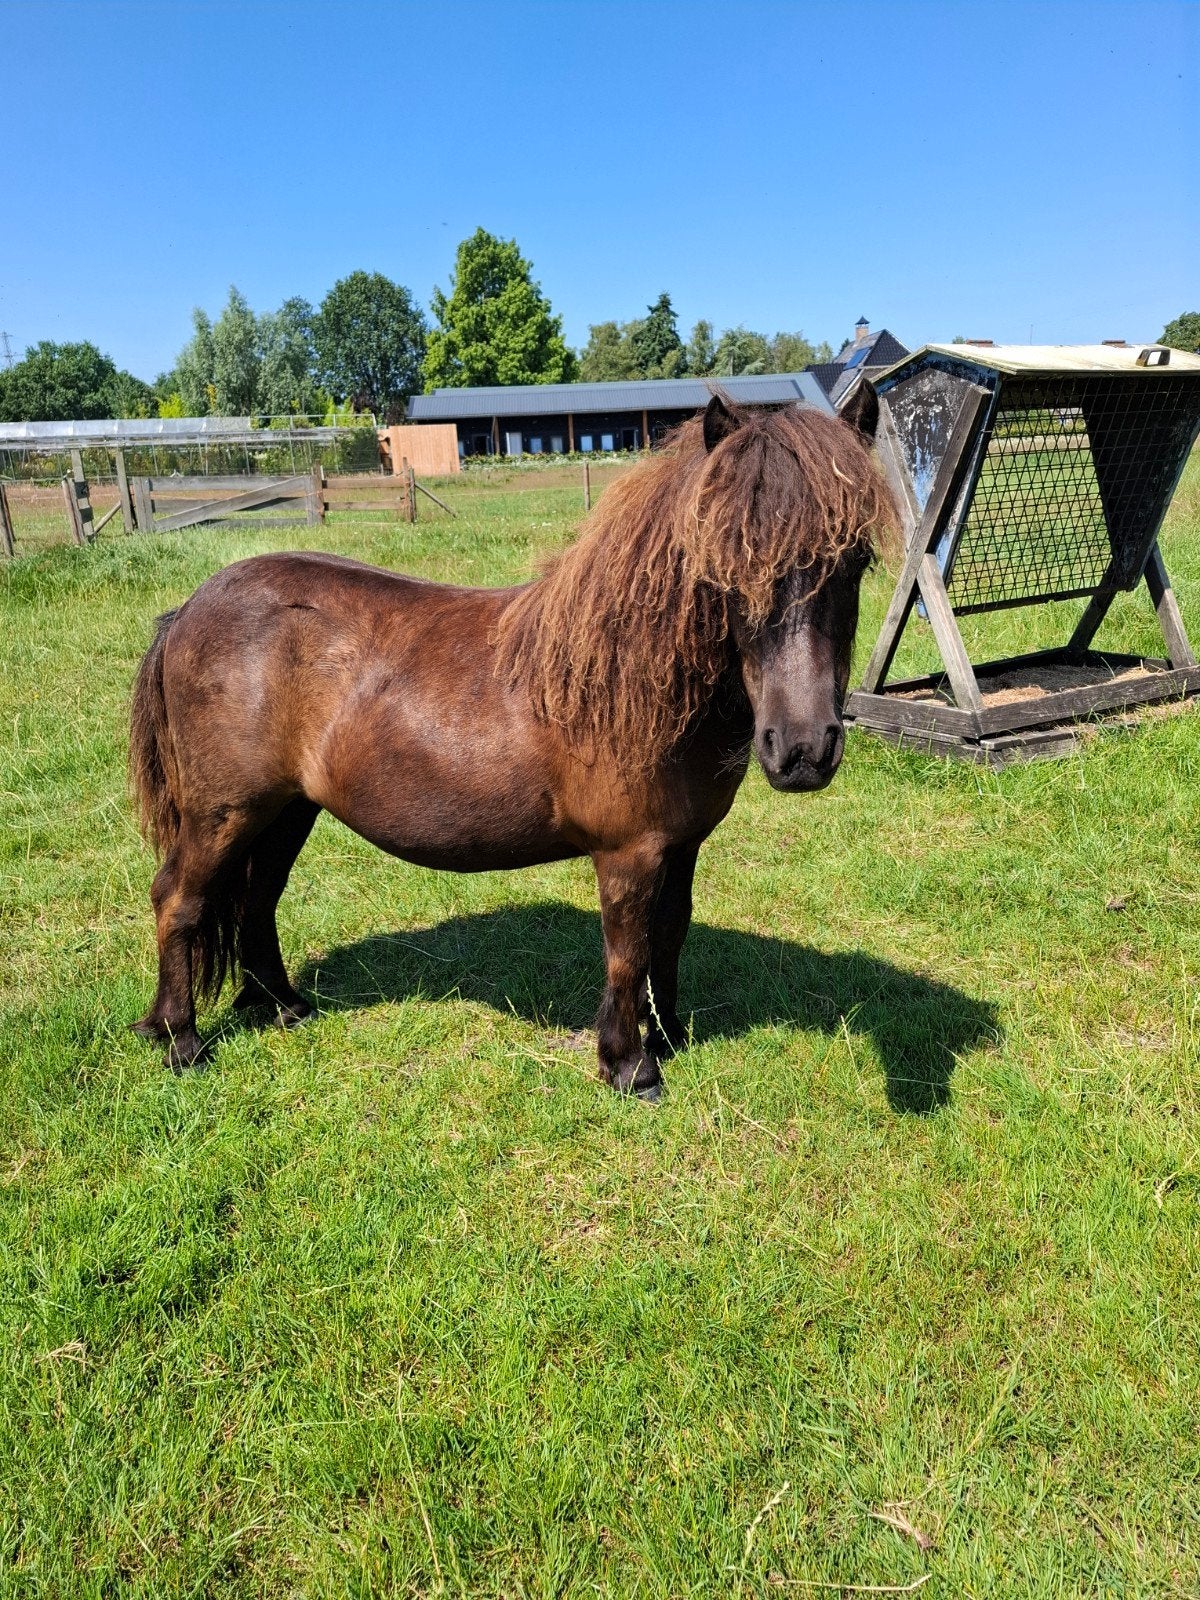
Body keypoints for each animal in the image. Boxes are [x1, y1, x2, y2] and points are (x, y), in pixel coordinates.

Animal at [129, 389, 893, 1098]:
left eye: (855, 560)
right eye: (726, 564)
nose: (802, 749)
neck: (631, 676)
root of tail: (189, 608)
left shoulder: (681, 846)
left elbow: (669, 936)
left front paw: (670, 1035)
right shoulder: (629, 853)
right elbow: (627, 951)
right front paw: (629, 1064)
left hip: (287, 810)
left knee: (258, 900)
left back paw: (284, 1006)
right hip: (224, 814)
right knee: (180, 898)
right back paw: (179, 1038)